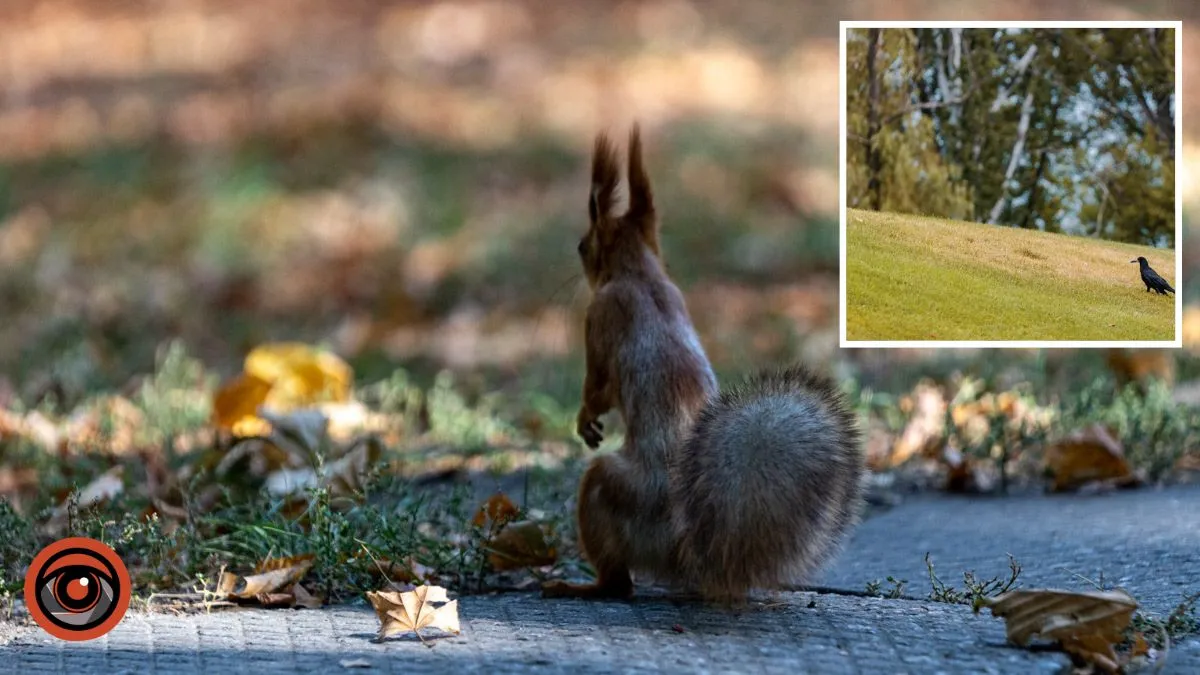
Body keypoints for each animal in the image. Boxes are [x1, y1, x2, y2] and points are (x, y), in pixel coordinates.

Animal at [542, 123, 864, 600]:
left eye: (583, 246)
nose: (578, 253)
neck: (642, 276)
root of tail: (687, 550)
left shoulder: (599, 318)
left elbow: (597, 385)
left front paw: (585, 419)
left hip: (606, 486)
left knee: (619, 582)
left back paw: (581, 587)